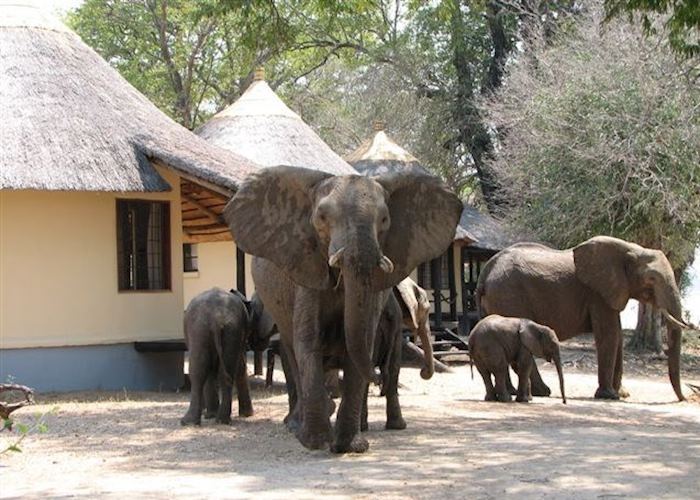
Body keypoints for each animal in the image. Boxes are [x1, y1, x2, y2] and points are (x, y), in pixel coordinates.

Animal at [182, 288, 253, 424]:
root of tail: (217, 317)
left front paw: (209, 414)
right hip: (227, 330)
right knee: (221, 370)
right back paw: (220, 419)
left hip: (202, 330)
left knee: (199, 371)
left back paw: (190, 421)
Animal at [226, 165, 464, 454]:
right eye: (321, 217)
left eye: (384, 219)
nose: (422, 373)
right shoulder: (306, 269)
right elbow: (309, 343)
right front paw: (316, 443)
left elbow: (360, 345)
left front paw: (350, 446)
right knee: (292, 352)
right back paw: (297, 426)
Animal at [478, 236, 692, 400]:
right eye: (652, 279)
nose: (684, 399)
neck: (632, 249)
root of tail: (486, 270)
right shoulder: (597, 293)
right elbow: (609, 335)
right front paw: (609, 396)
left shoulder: (610, 293)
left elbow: (617, 336)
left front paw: (622, 394)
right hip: (509, 296)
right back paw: (542, 392)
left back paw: (514, 392)